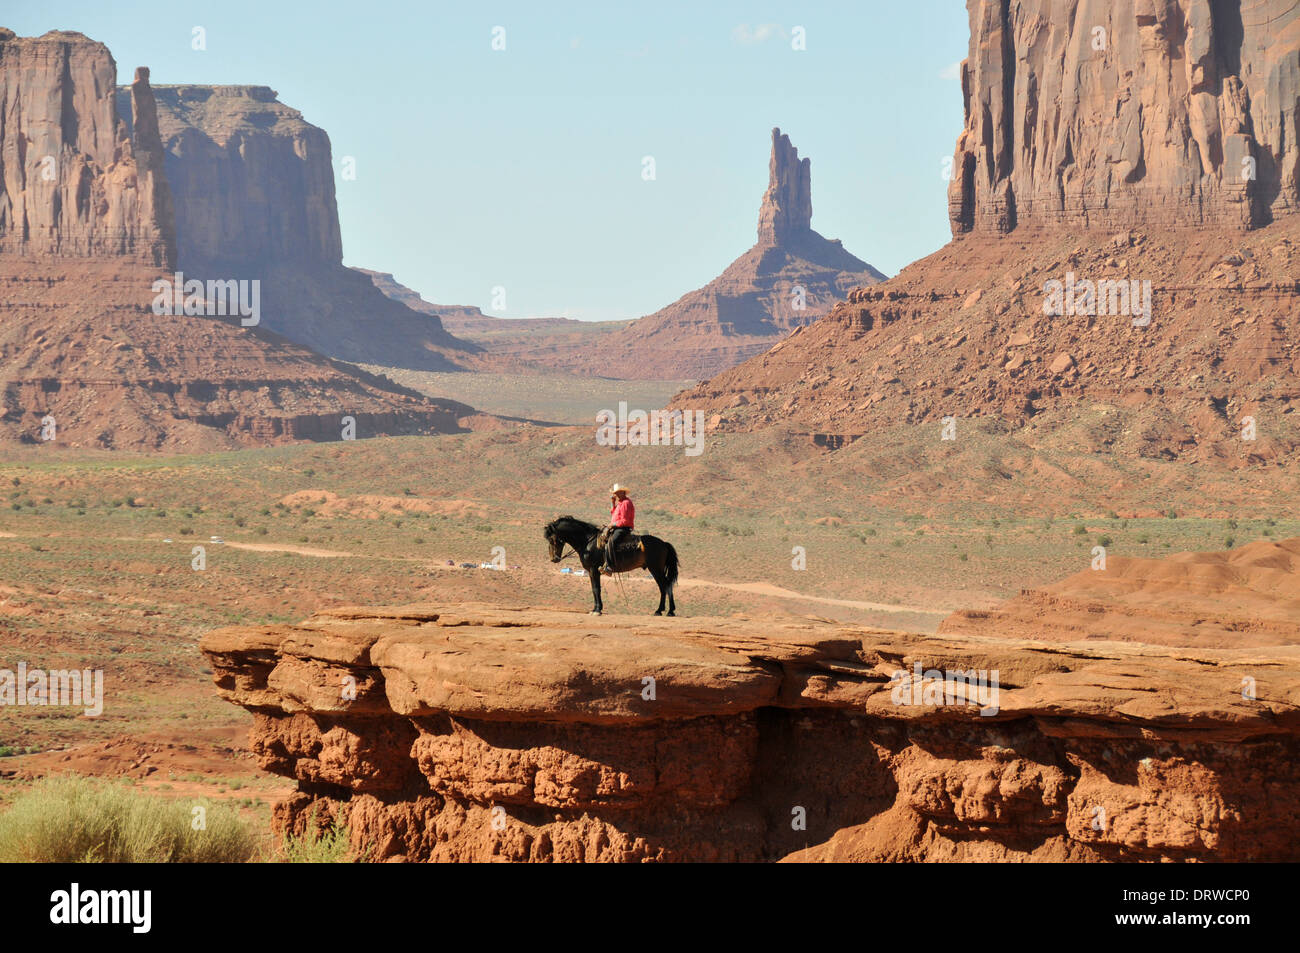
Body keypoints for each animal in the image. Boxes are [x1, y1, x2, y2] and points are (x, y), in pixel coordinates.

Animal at [543, 517, 681, 613]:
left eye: (552, 539)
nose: (554, 559)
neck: (588, 542)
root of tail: (664, 543)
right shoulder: (591, 571)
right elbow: (594, 588)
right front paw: (596, 608)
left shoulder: (593, 570)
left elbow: (596, 588)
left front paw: (597, 609)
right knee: (665, 586)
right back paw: (666, 611)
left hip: (655, 569)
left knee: (665, 586)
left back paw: (663, 610)